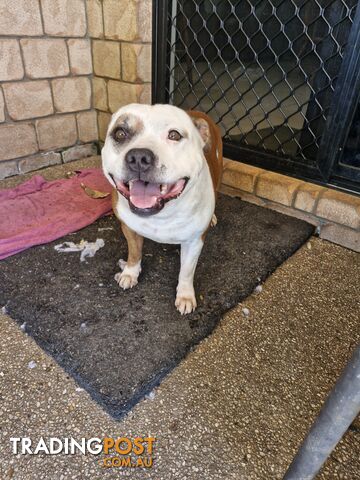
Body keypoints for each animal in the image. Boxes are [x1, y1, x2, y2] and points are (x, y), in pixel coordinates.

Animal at [101, 104, 224, 316]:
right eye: (120, 133)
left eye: (174, 135)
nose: (139, 157)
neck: (162, 214)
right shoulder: (128, 227)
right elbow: (134, 253)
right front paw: (130, 273)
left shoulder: (194, 242)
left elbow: (186, 271)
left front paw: (185, 295)